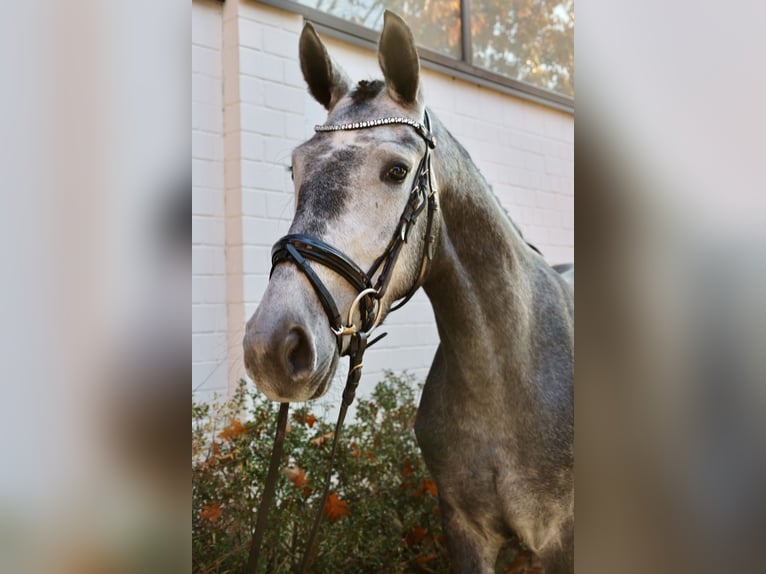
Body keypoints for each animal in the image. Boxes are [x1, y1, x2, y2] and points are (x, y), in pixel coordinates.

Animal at [243, 11, 572, 572]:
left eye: (397, 171)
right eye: (295, 169)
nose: (271, 347)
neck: (510, 375)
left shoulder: (559, 539)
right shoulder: (464, 530)